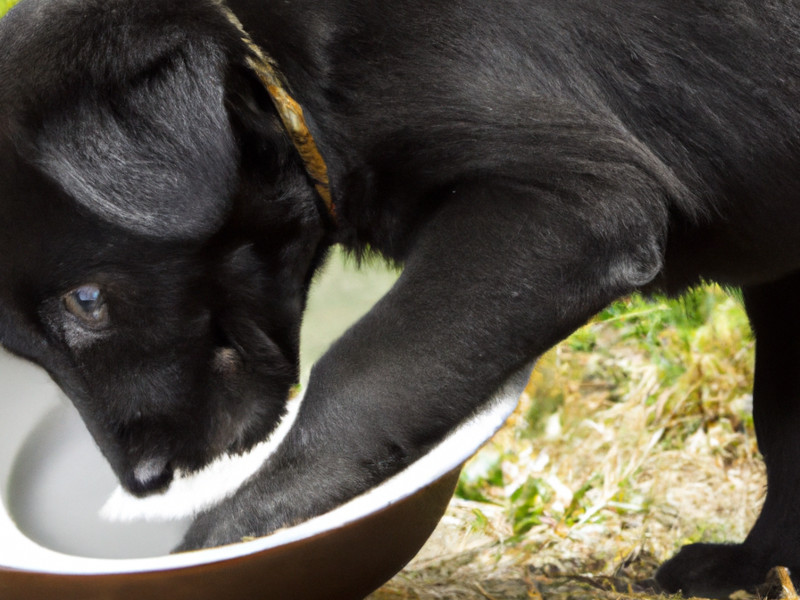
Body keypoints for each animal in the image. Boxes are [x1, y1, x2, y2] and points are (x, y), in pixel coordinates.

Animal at [0, 0, 796, 596]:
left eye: (86, 301)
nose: (144, 485)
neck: (268, 49)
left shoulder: (575, 206)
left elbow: (360, 373)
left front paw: (234, 534)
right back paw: (752, 566)